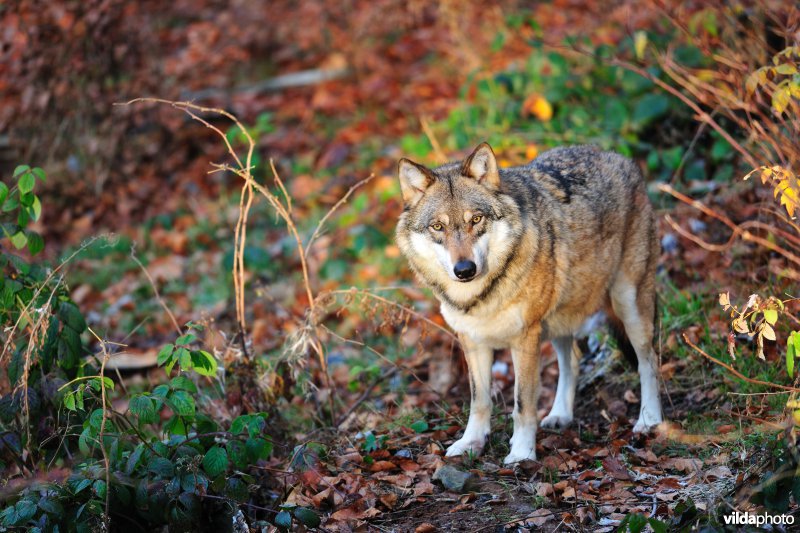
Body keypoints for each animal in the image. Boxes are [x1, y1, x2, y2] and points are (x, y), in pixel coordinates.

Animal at [395, 142, 663, 464]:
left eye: (476, 220)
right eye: (437, 227)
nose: (465, 270)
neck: (480, 297)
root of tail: (619, 156)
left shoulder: (524, 338)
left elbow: (522, 404)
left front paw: (522, 453)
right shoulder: (472, 341)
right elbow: (479, 401)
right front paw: (471, 443)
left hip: (628, 304)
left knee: (649, 361)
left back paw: (649, 420)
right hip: (560, 319)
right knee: (573, 359)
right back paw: (560, 415)